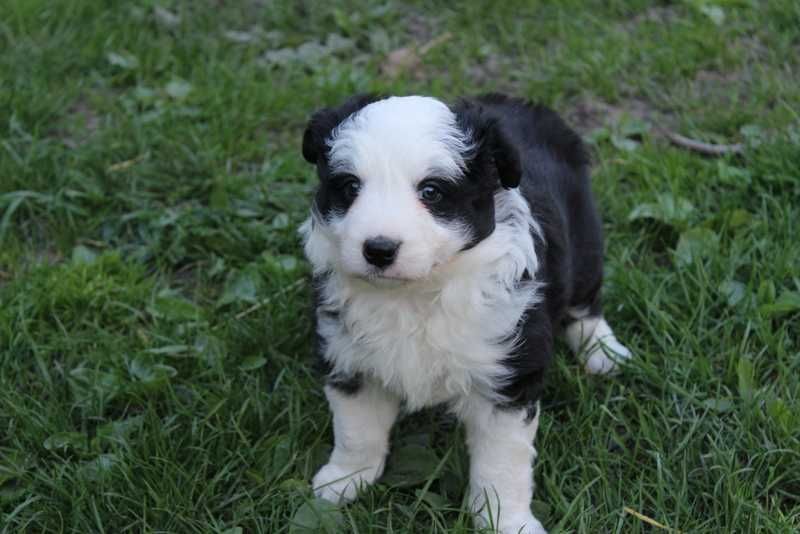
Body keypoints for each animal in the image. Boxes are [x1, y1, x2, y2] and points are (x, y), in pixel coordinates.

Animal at [300, 95, 632, 534]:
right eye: (351, 187)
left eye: (431, 191)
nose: (378, 249)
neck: (415, 294)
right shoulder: (349, 357)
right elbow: (357, 429)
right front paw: (344, 481)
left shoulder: (507, 377)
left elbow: (502, 464)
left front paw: (506, 521)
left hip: (584, 238)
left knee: (586, 301)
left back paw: (604, 353)